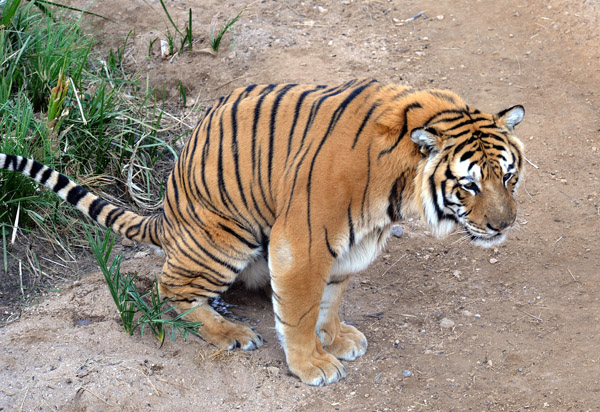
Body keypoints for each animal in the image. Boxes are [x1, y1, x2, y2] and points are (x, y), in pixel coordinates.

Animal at [0, 78, 524, 386]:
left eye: (509, 176)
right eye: (469, 184)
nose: (504, 225)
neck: (397, 185)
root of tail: (166, 212)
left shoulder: (350, 246)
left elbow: (331, 299)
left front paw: (335, 338)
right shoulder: (304, 242)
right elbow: (300, 310)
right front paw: (311, 364)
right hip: (225, 237)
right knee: (170, 286)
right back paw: (230, 332)